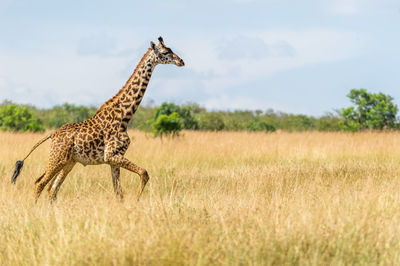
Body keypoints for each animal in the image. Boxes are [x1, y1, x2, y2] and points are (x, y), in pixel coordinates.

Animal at [9, 36, 184, 203]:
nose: (181, 61)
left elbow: (119, 194)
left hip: (68, 162)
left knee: (52, 189)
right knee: (39, 183)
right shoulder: (111, 155)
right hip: (57, 158)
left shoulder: (113, 159)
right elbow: (144, 172)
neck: (124, 117)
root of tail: (52, 134)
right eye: (166, 52)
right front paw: (136, 201)